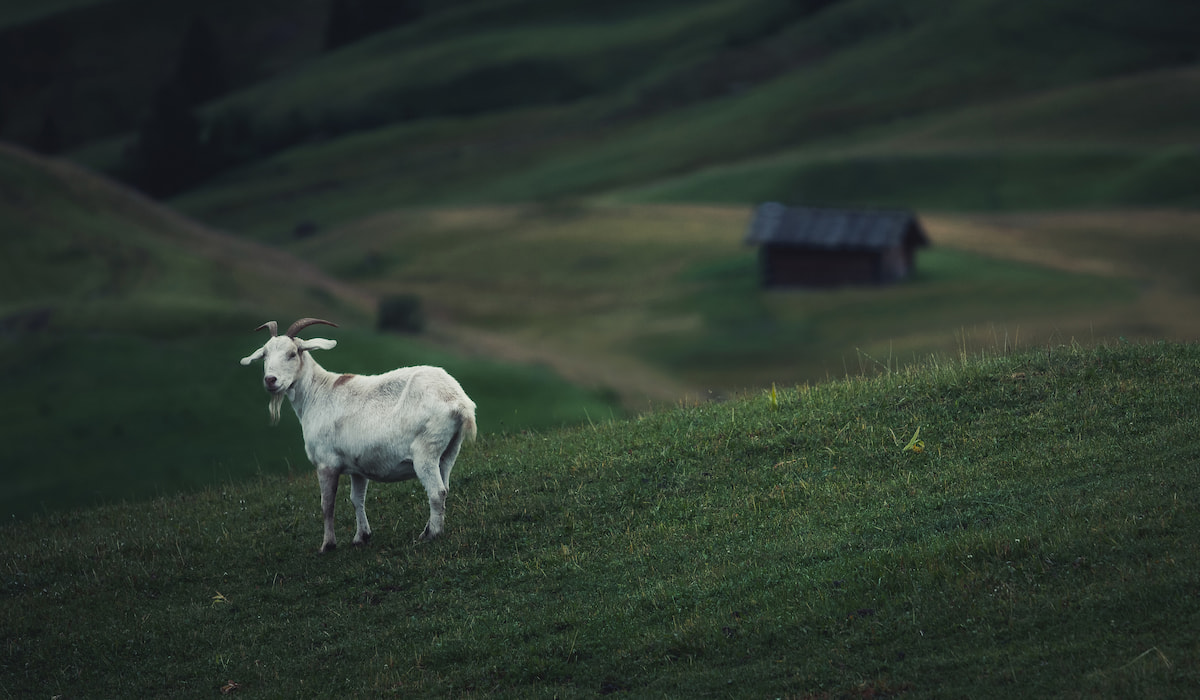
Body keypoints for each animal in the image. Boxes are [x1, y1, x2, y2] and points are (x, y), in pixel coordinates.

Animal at [240, 318, 477, 552]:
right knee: (444, 487)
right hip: (449, 451)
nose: (271, 380)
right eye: (265, 355)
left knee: (436, 492)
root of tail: (459, 401)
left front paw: (327, 545)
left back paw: (431, 535)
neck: (316, 394)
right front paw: (361, 536)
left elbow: (327, 505)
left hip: (426, 450)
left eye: (292, 353)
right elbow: (357, 499)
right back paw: (430, 529)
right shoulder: (358, 467)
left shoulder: (326, 464)